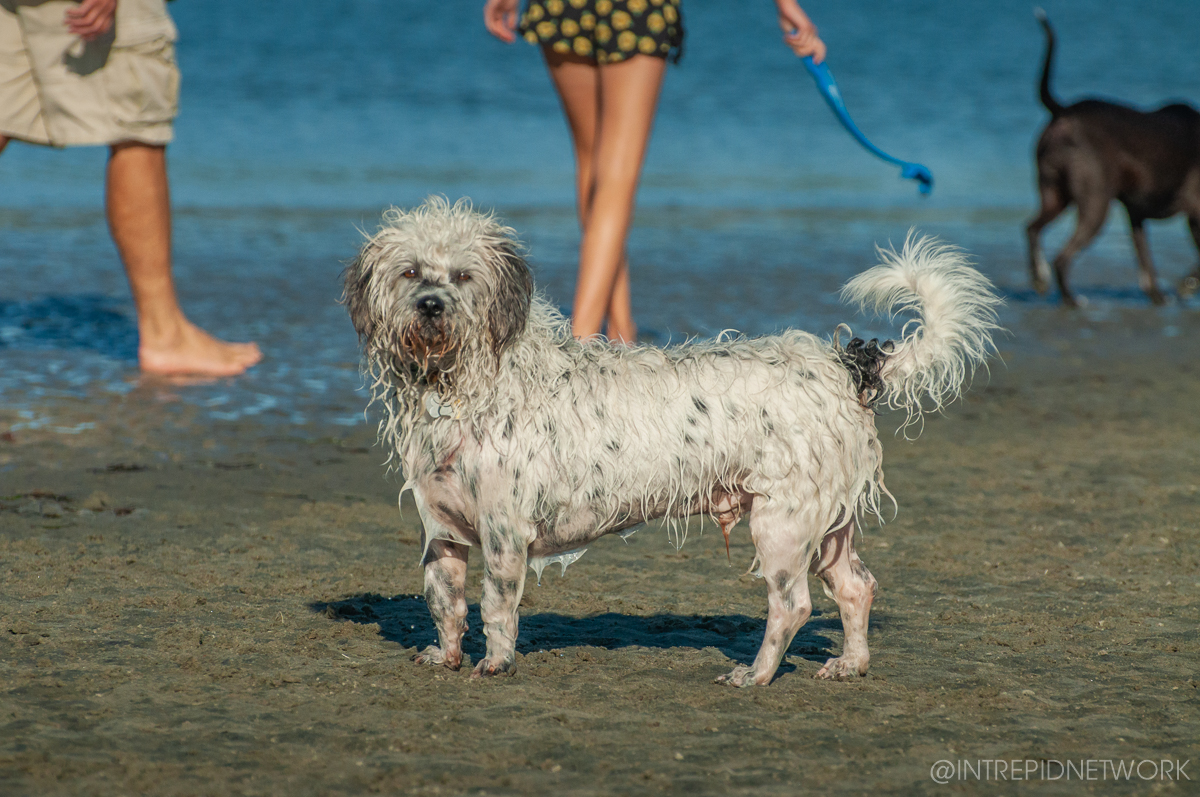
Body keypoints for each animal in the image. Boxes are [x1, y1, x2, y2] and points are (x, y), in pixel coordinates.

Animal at [343, 198, 998, 686]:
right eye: (409, 271)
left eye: (462, 276)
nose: (431, 305)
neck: (464, 383)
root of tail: (843, 366)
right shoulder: (442, 530)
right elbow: (444, 602)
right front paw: (447, 654)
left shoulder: (506, 532)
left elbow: (496, 607)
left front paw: (496, 663)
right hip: (827, 524)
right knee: (857, 588)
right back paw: (851, 664)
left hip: (782, 524)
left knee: (793, 606)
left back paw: (757, 675)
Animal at [1022, 10, 1200, 306]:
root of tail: (1065, 111)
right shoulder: (1195, 212)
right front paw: (1187, 285)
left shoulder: (1136, 215)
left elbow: (1146, 264)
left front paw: (1159, 296)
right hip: (1095, 203)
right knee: (1061, 258)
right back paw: (1072, 300)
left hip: (1055, 194)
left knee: (1031, 229)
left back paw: (1039, 278)